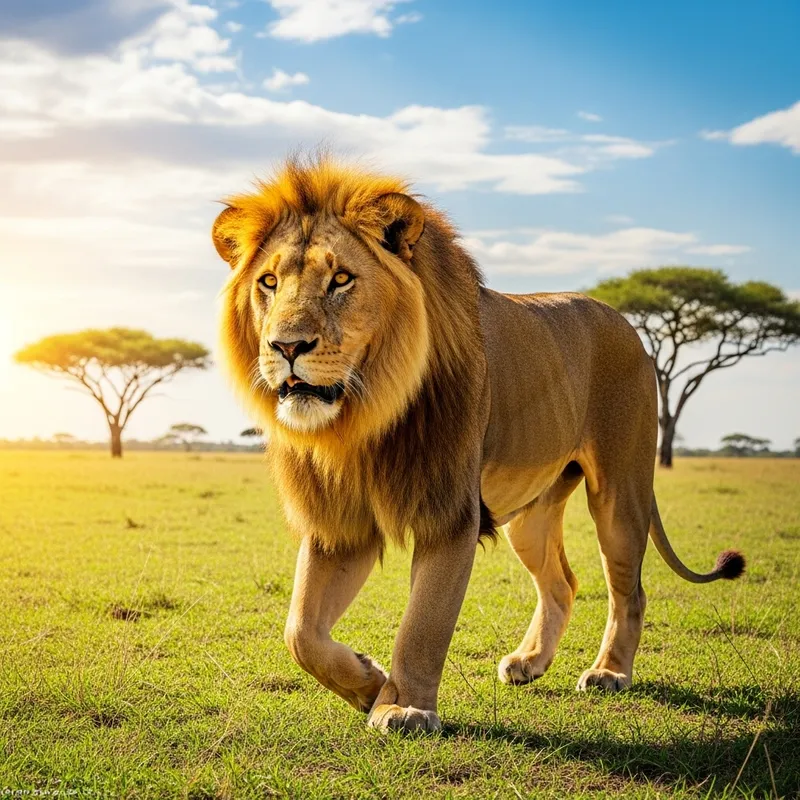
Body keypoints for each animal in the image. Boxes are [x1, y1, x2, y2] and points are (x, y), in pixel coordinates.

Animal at [213, 155, 745, 733]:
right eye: (269, 282)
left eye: (341, 279)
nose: (286, 346)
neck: (361, 420)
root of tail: (626, 323)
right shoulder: (339, 523)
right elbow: (301, 632)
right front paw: (369, 683)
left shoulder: (449, 513)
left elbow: (423, 623)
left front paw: (405, 706)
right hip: (531, 517)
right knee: (562, 583)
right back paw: (530, 662)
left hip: (620, 492)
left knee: (629, 590)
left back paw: (609, 672)